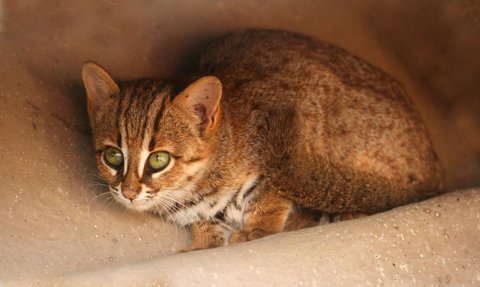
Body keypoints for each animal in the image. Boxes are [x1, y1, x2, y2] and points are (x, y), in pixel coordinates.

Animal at [81, 29, 442, 252]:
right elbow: (206, 226)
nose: (128, 193)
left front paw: (260, 227)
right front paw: (203, 241)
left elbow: (271, 195)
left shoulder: (294, 118)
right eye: (113, 156)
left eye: (159, 159)